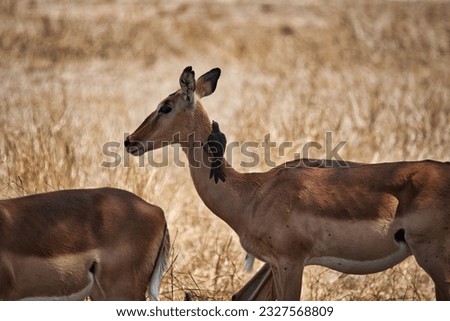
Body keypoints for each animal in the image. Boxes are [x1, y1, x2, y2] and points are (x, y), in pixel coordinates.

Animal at [125, 66, 450, 298]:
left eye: (166, 106)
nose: (130, 141)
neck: (253, 193)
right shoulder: (277, 264)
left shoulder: (289, 263)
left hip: (435, 261)